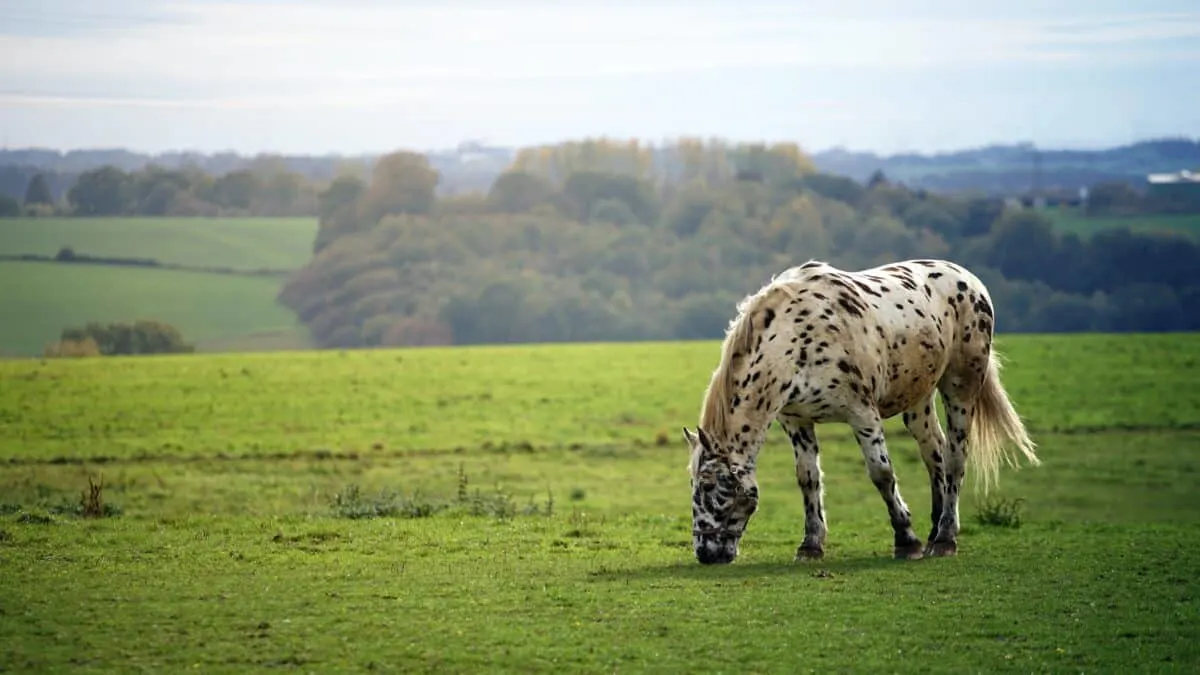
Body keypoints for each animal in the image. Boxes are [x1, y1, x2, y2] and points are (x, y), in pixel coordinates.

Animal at [686, 257, 1041, 562]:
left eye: (710, 487)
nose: (705, 553)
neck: (797, 339)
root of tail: (970, 280)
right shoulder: (796, 421)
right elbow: (807, 478)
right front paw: (810, 545)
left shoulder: (862, 414)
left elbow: (881, 474)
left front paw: (906, 540)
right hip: (918, 400)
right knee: (935, 454)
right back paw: (934, 529)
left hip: (960, 388)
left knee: (955, 458)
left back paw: (944, 539)